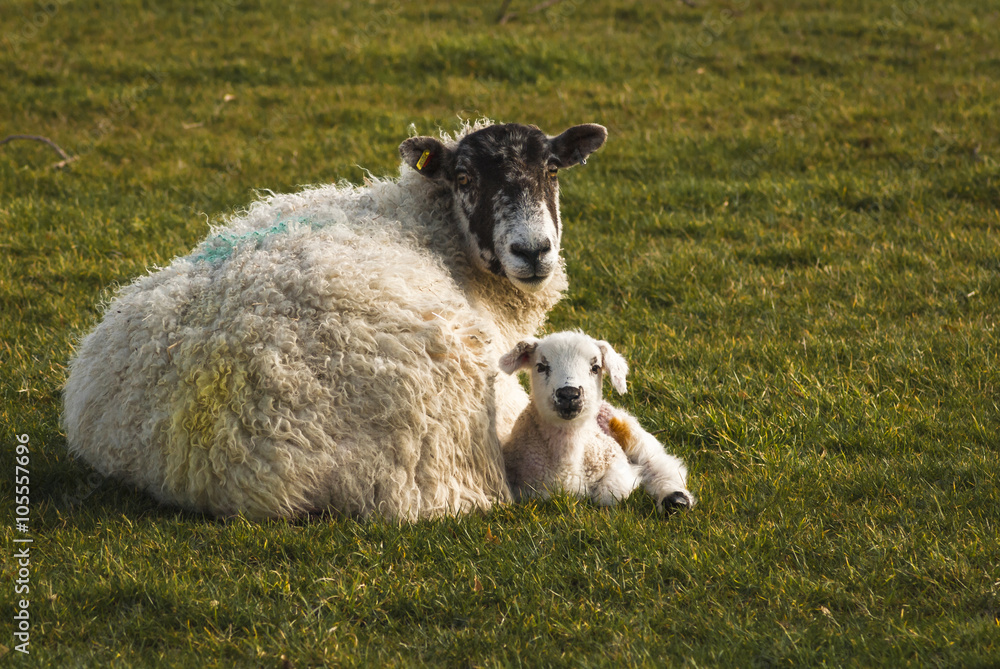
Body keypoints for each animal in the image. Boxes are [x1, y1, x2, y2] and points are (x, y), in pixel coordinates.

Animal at [499, 331, 695, 511]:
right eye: (541, 367)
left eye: (595, 368)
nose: (569, 394)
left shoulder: (616, 462)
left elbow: (609, 494)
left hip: (628, 430)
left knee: (659, 463)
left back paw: (675, 498)